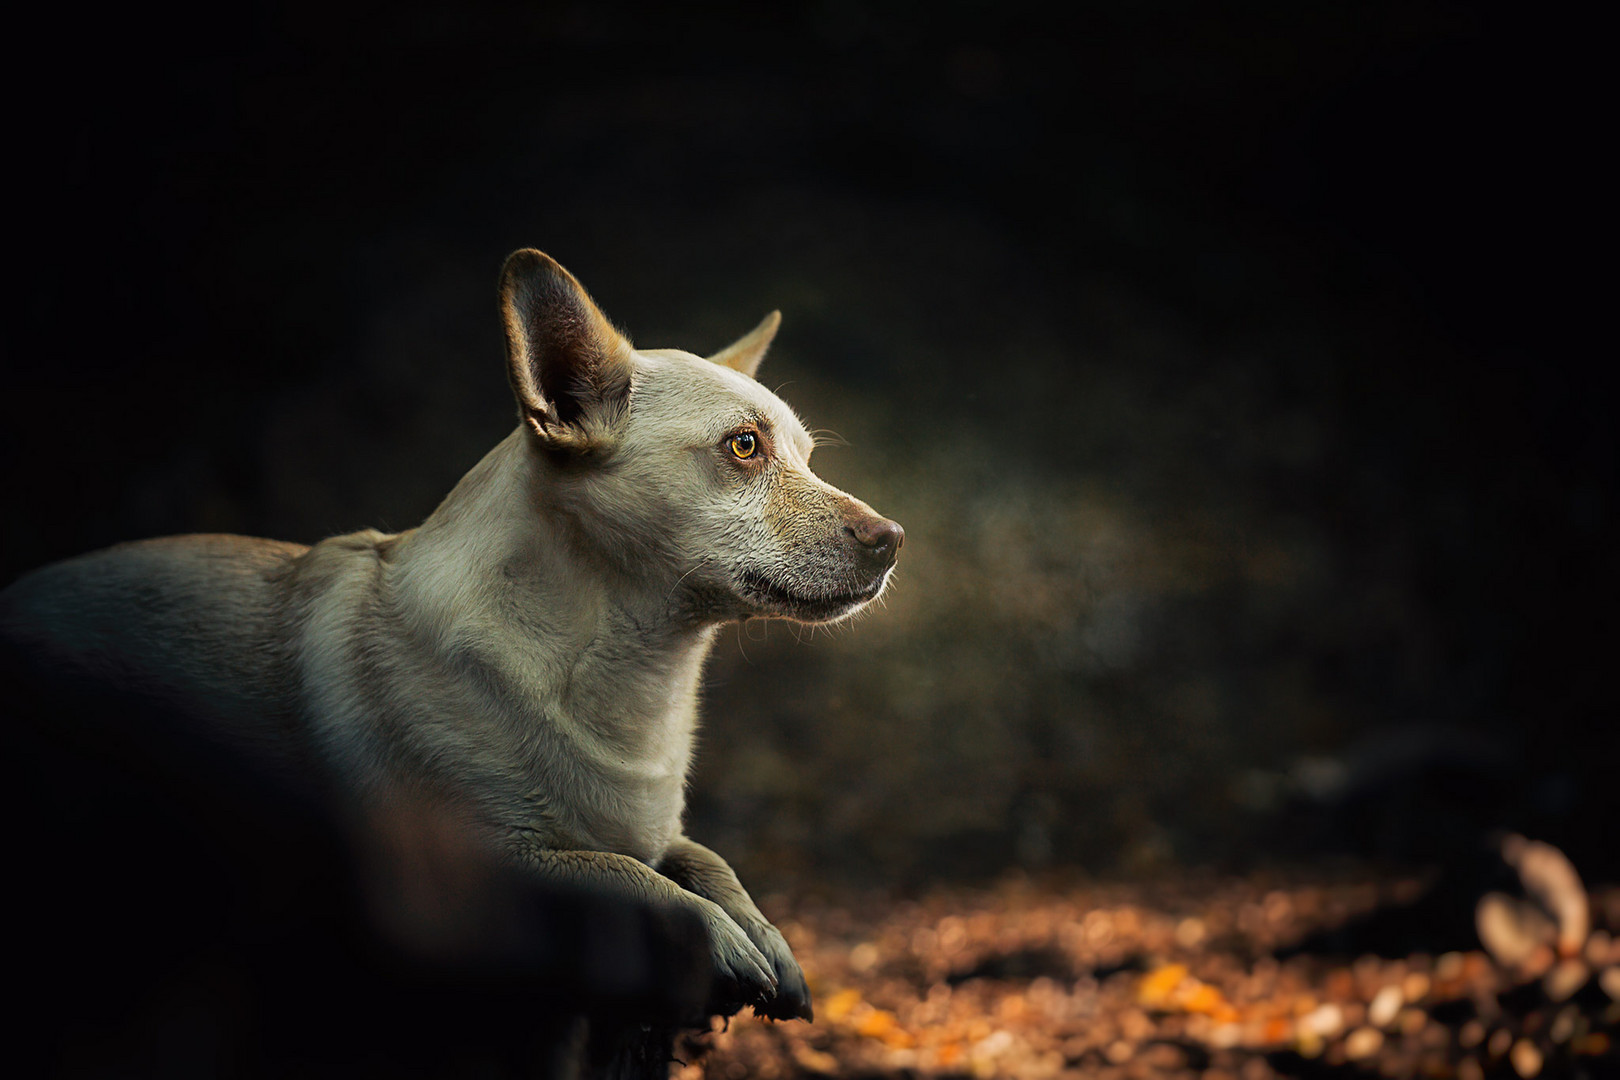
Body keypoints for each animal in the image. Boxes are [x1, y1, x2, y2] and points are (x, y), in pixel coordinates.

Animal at [6, 249, 907, 1029]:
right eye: (743, 448)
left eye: (806, 456)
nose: (893, 538)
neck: (633, 677)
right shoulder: (484, 869)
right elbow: (618, 874)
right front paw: (720, 937)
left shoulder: (659, 831)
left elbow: (700, 857)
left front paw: (766, 935)